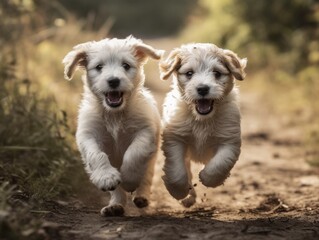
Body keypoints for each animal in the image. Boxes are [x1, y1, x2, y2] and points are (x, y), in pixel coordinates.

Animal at [62, 36, 162, 217]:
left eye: (126, 65)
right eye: (99, 67)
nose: (114, 81)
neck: (114, 114)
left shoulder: (145, 131)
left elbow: (134, 153)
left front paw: (129, 179)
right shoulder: (88, 135)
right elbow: (96, 155)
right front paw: (106, 177)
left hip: (152, 156)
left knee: (146, 176)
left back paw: (141, 196)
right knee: (117, 189)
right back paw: (115, 205)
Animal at [160, 42, 248, 207]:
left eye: (217, 73)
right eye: (189, 73)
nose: (202, 88)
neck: (202, 119)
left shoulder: (229, 140)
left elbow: (220, 163)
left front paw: (208, 178)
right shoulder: (175, 138)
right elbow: (177, 170)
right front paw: (178, 191)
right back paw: (188, 197)